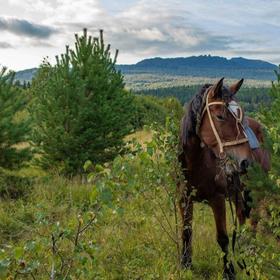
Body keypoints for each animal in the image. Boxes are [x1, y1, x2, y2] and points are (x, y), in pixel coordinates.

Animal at [178, 77, 270, 278]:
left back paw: (250, 252)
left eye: (240, 117)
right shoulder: (184, 199)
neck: (197, 162)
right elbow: (186, 231)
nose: (246, 162)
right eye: (220, 116)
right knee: (242, 215)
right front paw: (185, 265)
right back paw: (243, 248)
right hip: (236, 191)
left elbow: (222, 238)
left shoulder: (217, 199)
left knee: (254, 219)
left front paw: (229, 271)